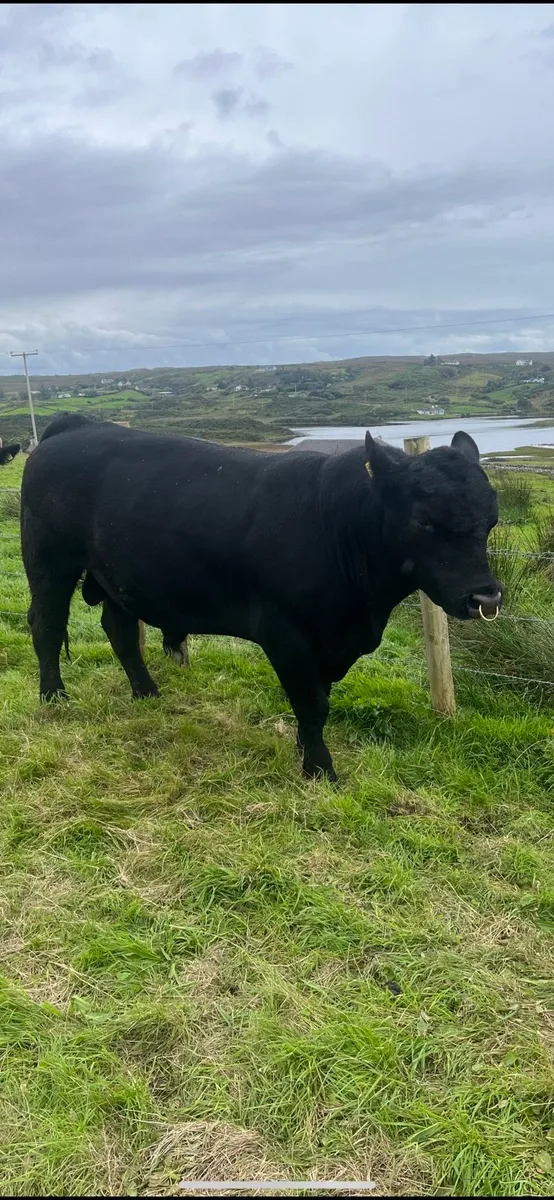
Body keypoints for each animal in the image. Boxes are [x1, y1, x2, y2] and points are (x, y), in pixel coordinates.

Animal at [20, 412, 502, 782]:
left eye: (492, 518)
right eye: (423, 520)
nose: (486, 597)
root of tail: (75, 425)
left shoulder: (329, 641)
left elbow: (318, 699)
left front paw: (304, 751)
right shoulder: (284, 631)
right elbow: (312, 703)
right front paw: (320, 770)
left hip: (114, 578)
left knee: (119, 630)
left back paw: (147, 693)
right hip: (48, 560)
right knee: (46, 625)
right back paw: (53, 697)